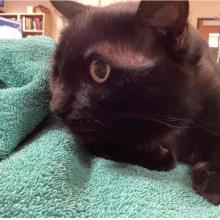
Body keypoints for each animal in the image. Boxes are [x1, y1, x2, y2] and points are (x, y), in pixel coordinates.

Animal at [49, 0, 220, 205]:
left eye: (99, 70)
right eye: (56, 71)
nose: (55, 107)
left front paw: (213, 181)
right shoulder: (93, 138)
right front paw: (157, 155)